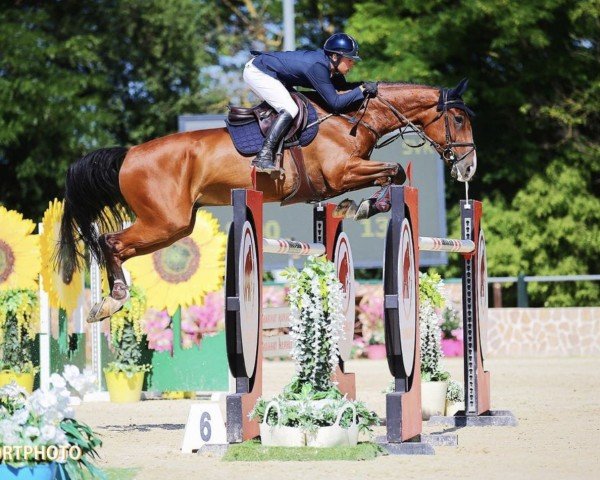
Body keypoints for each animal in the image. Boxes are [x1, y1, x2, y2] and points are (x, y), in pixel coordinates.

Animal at [58, 79, 476, 320]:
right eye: (458, 120)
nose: (468, 167)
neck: (352, 118)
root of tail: (129, 154)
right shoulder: (341, 173)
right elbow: (396, 170)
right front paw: (361, 206)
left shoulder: (344, 176)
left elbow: (394, 174)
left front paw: (357, 206)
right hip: (165, 221)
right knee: (111, 242)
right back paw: (112, 300)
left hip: (175, 226)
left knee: (117, 245)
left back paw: (110, 300)